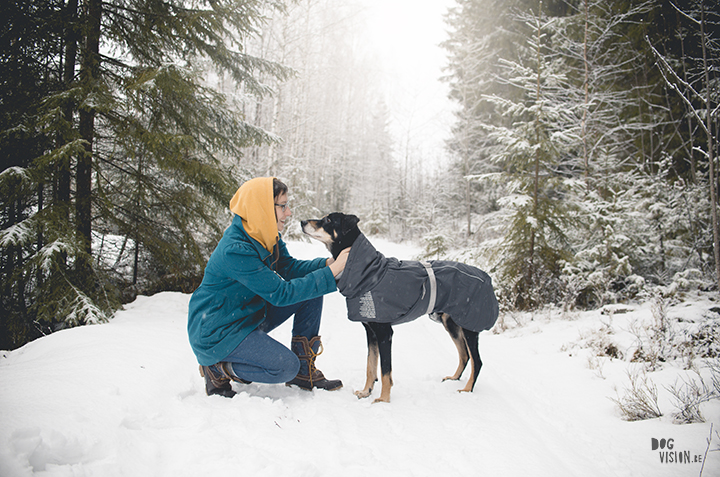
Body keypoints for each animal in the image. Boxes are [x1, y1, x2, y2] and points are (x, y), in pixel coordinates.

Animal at [300, 212, 498, 402]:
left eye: (327, 220)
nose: (302, 221)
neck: (370, 273)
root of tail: (487, 277)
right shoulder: (371, 332)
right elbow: (370, 366)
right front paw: (366, 392)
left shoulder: (384, 333)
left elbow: (385, 371)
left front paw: (383, 399)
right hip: (451, 323)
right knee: (465, 355)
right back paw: (454, 378)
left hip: (470, 326)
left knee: (477, 361)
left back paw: (467, 389)